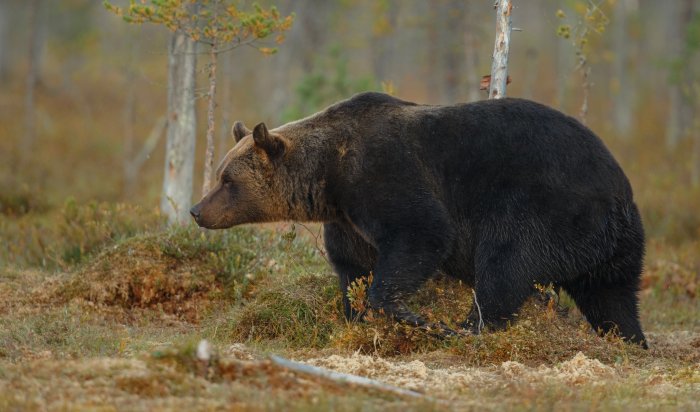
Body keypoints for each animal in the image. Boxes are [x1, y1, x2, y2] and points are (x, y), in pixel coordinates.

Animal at [190, 92, 647, 348]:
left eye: (227, 179)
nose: (196, 210)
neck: (328, 177)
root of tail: (618, 192)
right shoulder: (347, 221)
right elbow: (352, 269)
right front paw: (356, 317)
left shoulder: (385, 175)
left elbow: (422, 234)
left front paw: (414, 317)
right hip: (612, 244)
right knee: (613, 296)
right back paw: (629, 341)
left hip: (542, 206)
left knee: (505, 265)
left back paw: (467, 328)